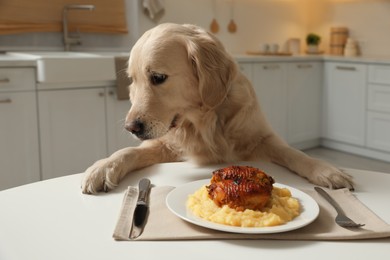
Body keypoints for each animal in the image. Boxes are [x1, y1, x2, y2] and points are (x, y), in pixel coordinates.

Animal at [81, 23, 354, 194]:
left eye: (158, 77)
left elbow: (295, 153)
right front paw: (102, 168)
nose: (131, 127)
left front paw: (326, 170)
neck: (204, 121)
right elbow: (127, 151)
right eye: (132, 80)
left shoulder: (263, 139)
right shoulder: (164, 144)